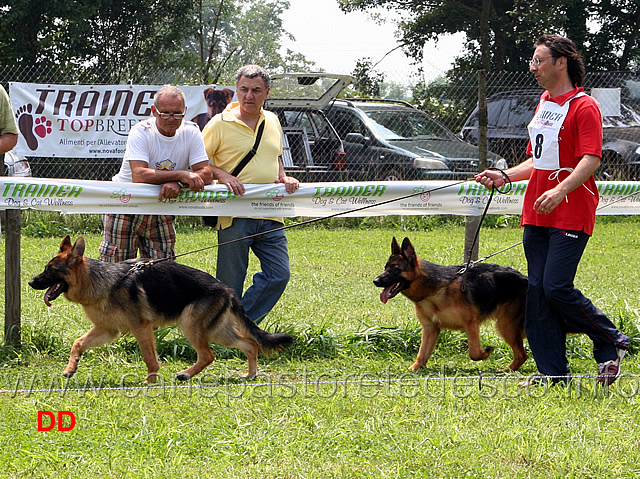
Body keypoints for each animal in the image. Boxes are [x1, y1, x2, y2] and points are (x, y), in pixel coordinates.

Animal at [28, 234, 292, 384]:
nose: (30, 282)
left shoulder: (141, 328)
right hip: (219, 332)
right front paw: (70, 368)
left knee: (209, 355)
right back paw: (250, 375)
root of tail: (227, 289)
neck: (102, 281)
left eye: (51, 270)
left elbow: (149, 357)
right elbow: (78, 343)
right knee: (249, 344)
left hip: (191, 325)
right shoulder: (107, 330)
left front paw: (151, 381)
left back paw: (186, 374)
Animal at [372, 238, 528, 374]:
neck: (433, 290)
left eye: (395, 269)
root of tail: (525, 278)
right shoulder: (430, 329)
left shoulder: (471, 324)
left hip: (505, 325)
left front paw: (485, 353)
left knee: (522, 355)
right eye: (385, 268)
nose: (375, 281)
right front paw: (412, 369)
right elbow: (422, 354)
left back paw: (506, 370)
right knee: (522, 355)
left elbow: (474, 353)